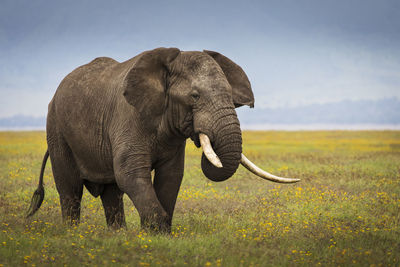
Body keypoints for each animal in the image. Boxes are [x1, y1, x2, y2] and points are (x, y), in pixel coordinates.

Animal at [26, 47, 298, 232]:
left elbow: (171, 176)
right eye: (195, 96)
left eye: (231, 97)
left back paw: (117, 235)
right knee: (70, 187)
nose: (205, 137)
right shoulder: (128, 116)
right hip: (57, 128)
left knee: (111, 192)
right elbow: (130, 173)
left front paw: (159, 236)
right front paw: (155, 234)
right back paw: (73, 234)